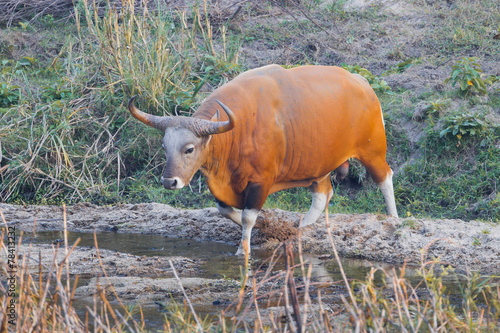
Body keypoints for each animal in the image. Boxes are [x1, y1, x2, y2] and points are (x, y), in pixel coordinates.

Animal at [128, 64, 398, 254]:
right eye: (165, 147)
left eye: (189, 149)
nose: (169, 182)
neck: (237, 132)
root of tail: (362, 83)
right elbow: (225, 210)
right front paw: (265, 226)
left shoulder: (261, 181)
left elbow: (248, 216)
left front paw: (243, 249)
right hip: (319, 165)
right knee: (322, 194)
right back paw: (302, 228)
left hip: (373, 151)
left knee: (385, 179)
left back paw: (394, 218)